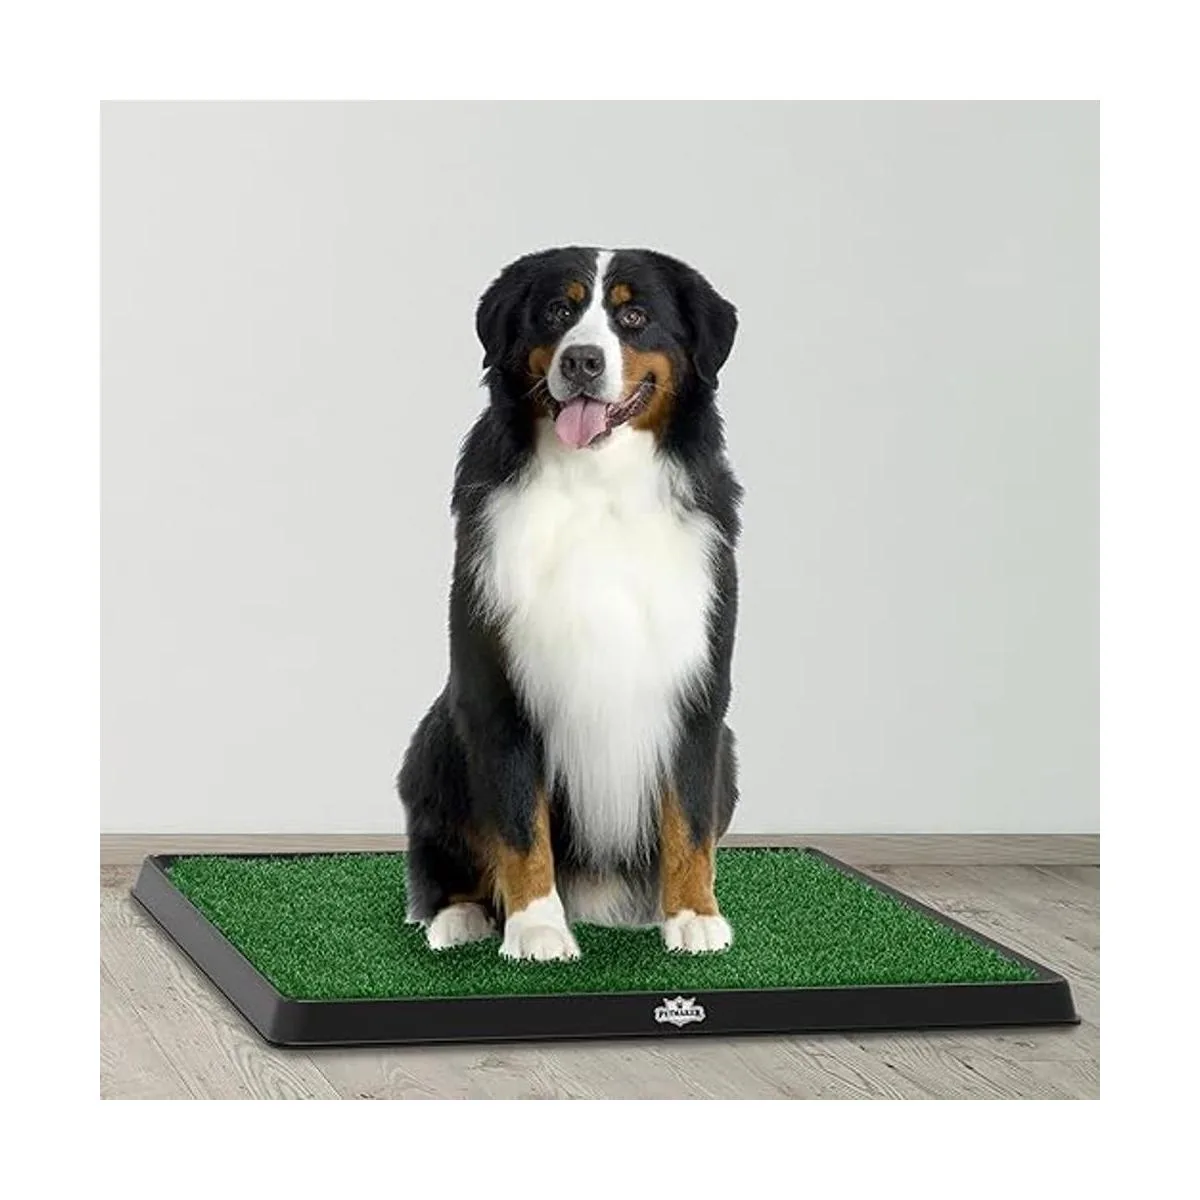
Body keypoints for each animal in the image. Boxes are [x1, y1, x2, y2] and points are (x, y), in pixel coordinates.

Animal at [398, 247, 741, 961]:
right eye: (559, 311)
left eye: (634, 316)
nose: (582, 360)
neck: (598, 488)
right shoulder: (498, 686)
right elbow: (519, 824)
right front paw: (535, 927)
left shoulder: (699, 691)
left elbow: (689, 815)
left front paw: (694, 915)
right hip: (434, 740)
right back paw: (459, 917)